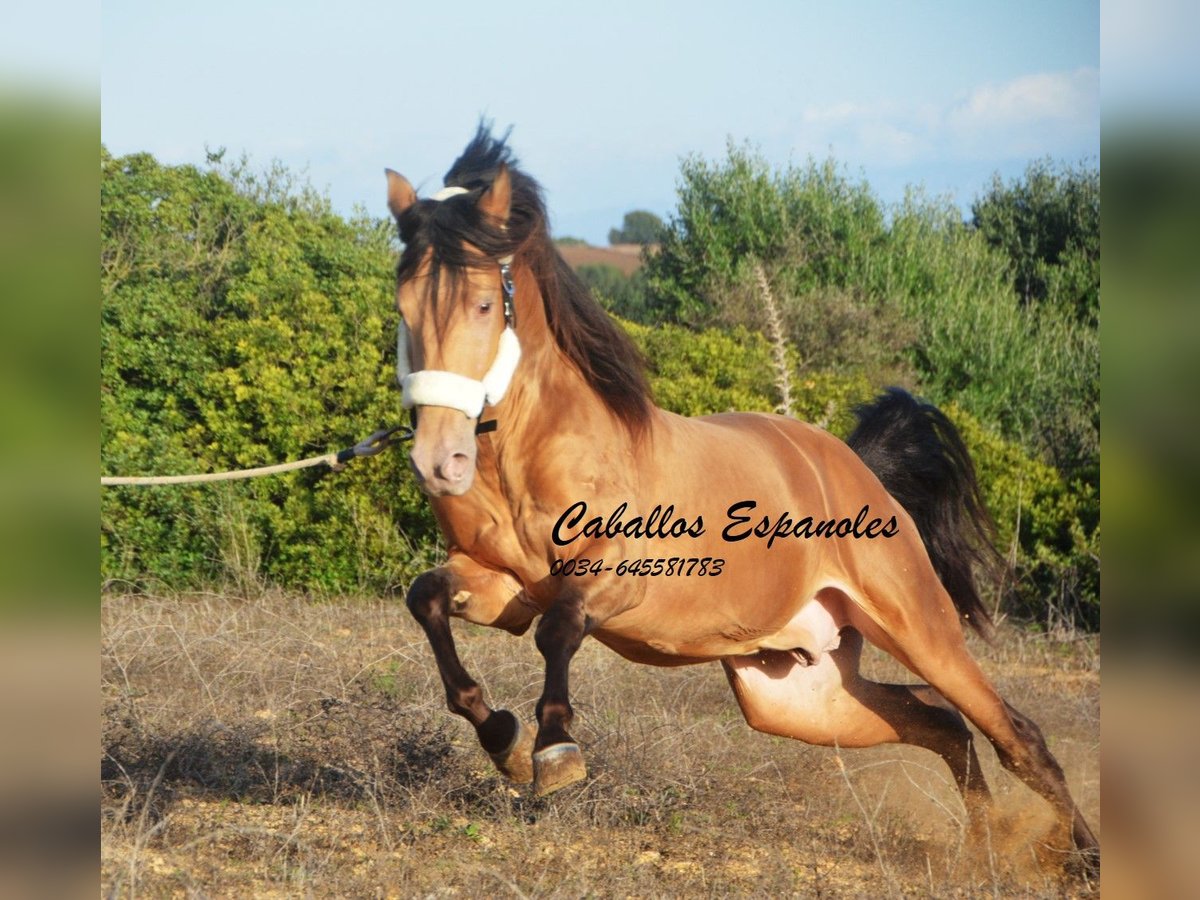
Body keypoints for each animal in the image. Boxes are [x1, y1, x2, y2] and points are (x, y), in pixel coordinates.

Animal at [384, 123, 1099, 868]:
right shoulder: (501, 585)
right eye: (402, 307)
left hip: (920, 631)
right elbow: (427, 599)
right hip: (795, 694)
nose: (439, 461)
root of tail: (858, 469)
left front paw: (554, 752)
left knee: (1016, 734)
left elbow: (559, 630)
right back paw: (987, 847)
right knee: (942, 722)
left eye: (482, 304)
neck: (532, 456)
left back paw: (1079, 860)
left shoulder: (621, 579)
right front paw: (504, 739)